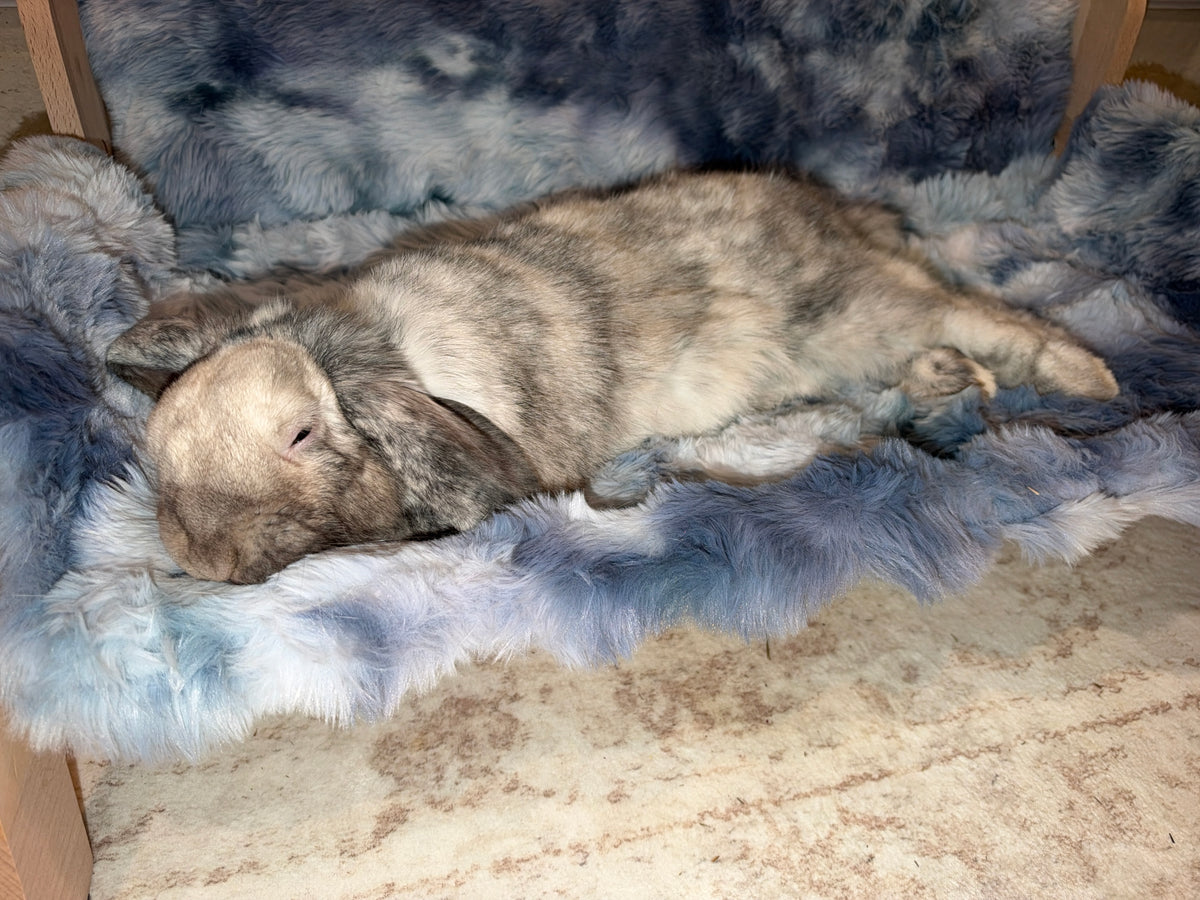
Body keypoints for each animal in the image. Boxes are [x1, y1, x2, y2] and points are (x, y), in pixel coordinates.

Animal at [107, 169, 1118, 584]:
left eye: (301, 434)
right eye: (156, 445)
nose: (198, 560)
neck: (365, 350)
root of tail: (840, 214)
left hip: (855, 311)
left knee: (972, 314)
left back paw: (1093, 379)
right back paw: (949, 380)